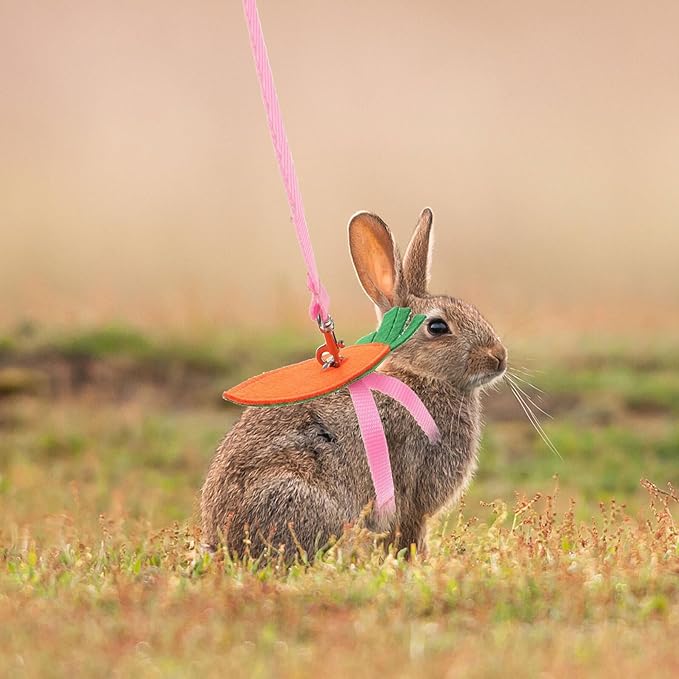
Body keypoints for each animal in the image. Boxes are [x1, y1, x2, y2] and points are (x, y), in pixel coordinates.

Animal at [201, 208, 507, 559]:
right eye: (438, 327)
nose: (499, 357)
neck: (423, 378)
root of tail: (222, 541)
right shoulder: (413, 494)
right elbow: (409, 534)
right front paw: (417, 562)